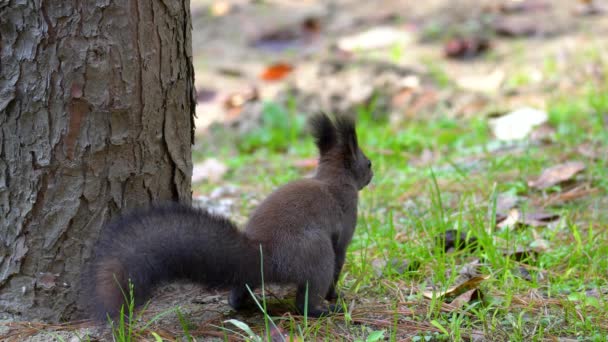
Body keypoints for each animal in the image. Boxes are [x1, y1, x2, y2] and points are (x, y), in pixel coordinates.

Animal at [83, 113, 372, 320]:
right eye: (367, 162)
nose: (372, 173)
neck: (332, 178)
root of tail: (264, 254)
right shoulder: (345, 227)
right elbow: (340, 259)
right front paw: (335, 295)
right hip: (317, 254)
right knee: (305, 300)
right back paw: (321, 310)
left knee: (240, 288)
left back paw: (245, 304)